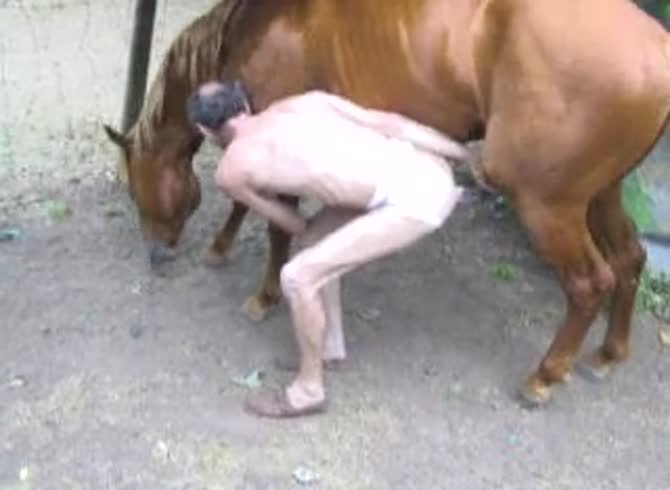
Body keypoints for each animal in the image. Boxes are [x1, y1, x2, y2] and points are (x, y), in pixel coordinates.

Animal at [103, 0, 670, 406]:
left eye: (135, 186)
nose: (156, 255)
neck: (258, 24)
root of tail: (656, 49)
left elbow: (276, 224)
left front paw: (263, 296)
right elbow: (248, 206)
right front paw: (221, 248)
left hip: (546, 205)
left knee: (589, 283)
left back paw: (545, 377)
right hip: (598, 194)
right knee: (629, 258)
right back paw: (609, 353)